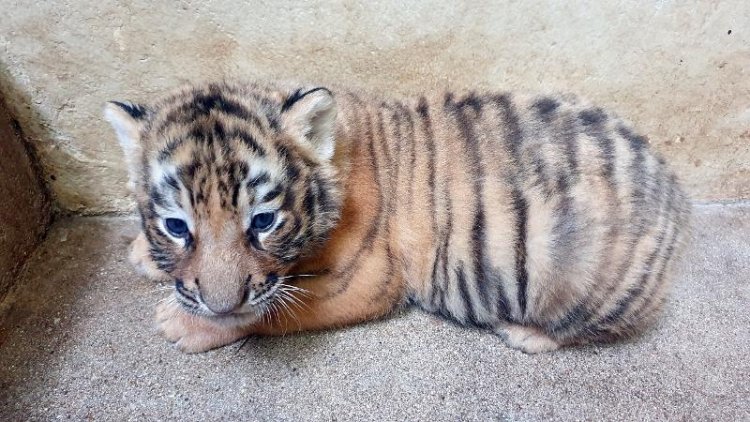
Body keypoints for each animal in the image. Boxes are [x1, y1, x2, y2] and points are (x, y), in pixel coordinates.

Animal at [104, 80, 691, 354]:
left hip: (575, 272)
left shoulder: (366, 281)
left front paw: (186, 324)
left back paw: (527, 335)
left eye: (263, 222)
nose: (216, 304)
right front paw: (146, 255)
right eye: (178, 227)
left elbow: (275, 308)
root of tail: (675, 196)